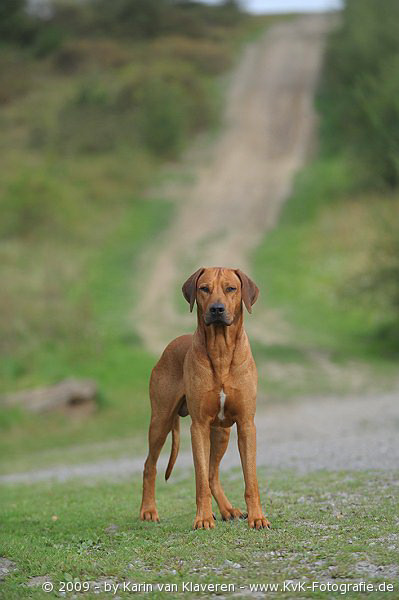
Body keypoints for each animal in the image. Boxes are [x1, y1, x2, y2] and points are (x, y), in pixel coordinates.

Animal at [141, 268, 272, 528]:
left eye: (231, 288)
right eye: (204, 288)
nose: (217, 309)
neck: (221, 352)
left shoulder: (246, 424)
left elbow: (250, 480)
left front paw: (257, 517)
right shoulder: (199, 426)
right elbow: (199, 479)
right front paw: (202, 518)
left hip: (222, 432)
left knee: (213, 473)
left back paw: (228, 509)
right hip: (160, 420)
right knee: (149, 465)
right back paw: (148, 511)